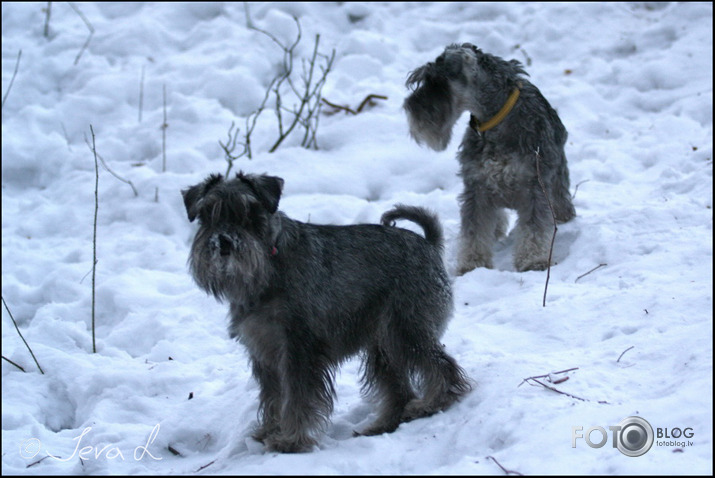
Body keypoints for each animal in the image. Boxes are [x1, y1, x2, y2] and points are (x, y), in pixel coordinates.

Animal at [180, 172, 470, 452]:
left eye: (249, 212)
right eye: (207, 215)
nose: (223, 242)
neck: (270, 262)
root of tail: (430, 245)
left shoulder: (299, 347)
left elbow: (297, 398)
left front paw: (290, 441)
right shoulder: (264, 351)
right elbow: (273, 397)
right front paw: (268, 431)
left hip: (405, 330)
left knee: (441, 366)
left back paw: (432, 403)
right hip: (382, 345)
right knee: (399, 389)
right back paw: (381, 425)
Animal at [402, 43, 576, 274]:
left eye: (435, 81)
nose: (409, 106)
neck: (495, 119)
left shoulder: (535, 187)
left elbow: (534, 228)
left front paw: (532, 261)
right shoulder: (477, 187)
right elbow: (474, 231)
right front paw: (472, 264)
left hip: (556, 184)